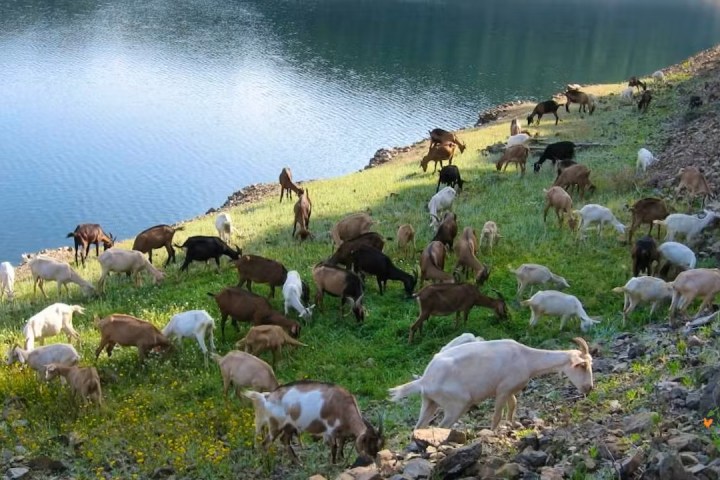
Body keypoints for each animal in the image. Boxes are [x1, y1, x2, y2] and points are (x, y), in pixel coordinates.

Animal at [244, 381, 384, 464]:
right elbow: (334, 446)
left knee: (284, 440)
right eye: (367, 443)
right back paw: (266, 463)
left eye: (379, 445)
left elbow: (341, 444)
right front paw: (333, 464)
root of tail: (267, 397)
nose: (373, 460)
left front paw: (342, 459)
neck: (344, 405)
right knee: (265, 443)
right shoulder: (330, 430)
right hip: (275, 424)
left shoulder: (342, 431)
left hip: (289, 426)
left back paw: (298, 462)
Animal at [389, 337, 593, 430]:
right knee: (442, 427)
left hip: (429, 402)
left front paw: (512, 423)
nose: (589, 388)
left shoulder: (510, 389)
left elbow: (513, 404)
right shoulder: (502, 389)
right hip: (457, 404)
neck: (527, 359)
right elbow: (496, 415)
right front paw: (495, 431)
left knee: (418, 427)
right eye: (582, 366)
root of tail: (424, 380)